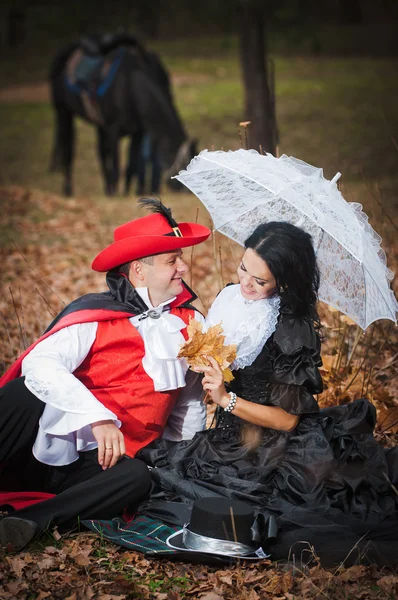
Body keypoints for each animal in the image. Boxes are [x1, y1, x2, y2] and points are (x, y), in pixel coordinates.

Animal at [49, 34, 196, 197]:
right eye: (187, 166)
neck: (129, 87)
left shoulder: (137, 133)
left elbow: (132, 164)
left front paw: (127, 192)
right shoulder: (113, 129)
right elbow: (116, 165)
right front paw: (116, 193)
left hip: (99, 125)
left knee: (101, 153)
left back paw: (107, 188)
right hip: (63, 112)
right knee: (69, 150)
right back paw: (69, 189)